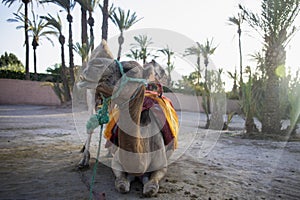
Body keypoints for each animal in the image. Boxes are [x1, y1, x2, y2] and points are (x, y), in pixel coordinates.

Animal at [78, 40, 179, 197]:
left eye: (131, 70)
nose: (93, 64)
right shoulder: (118, 165)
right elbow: (121, 185)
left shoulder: (161, 166)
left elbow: (151, 187)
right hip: (92, 93)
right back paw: (85, 158)